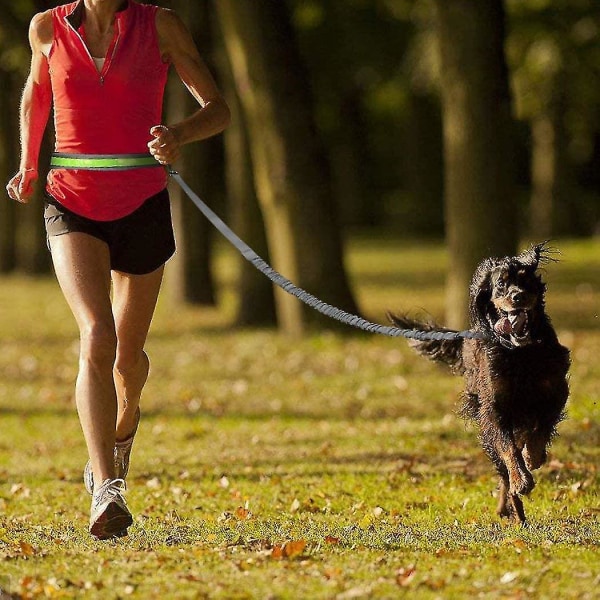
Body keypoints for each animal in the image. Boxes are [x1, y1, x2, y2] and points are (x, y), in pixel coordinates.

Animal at [392, 244, 568, 524]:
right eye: (501, 284)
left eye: (526, 279)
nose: (518, 297)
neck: (521, 353)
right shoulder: (493, 408)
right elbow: (508, 449)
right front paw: (521, 478)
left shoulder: (555, 390)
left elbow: (540, 429)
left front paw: (533, 455)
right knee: (503, 468)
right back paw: (514, 510)